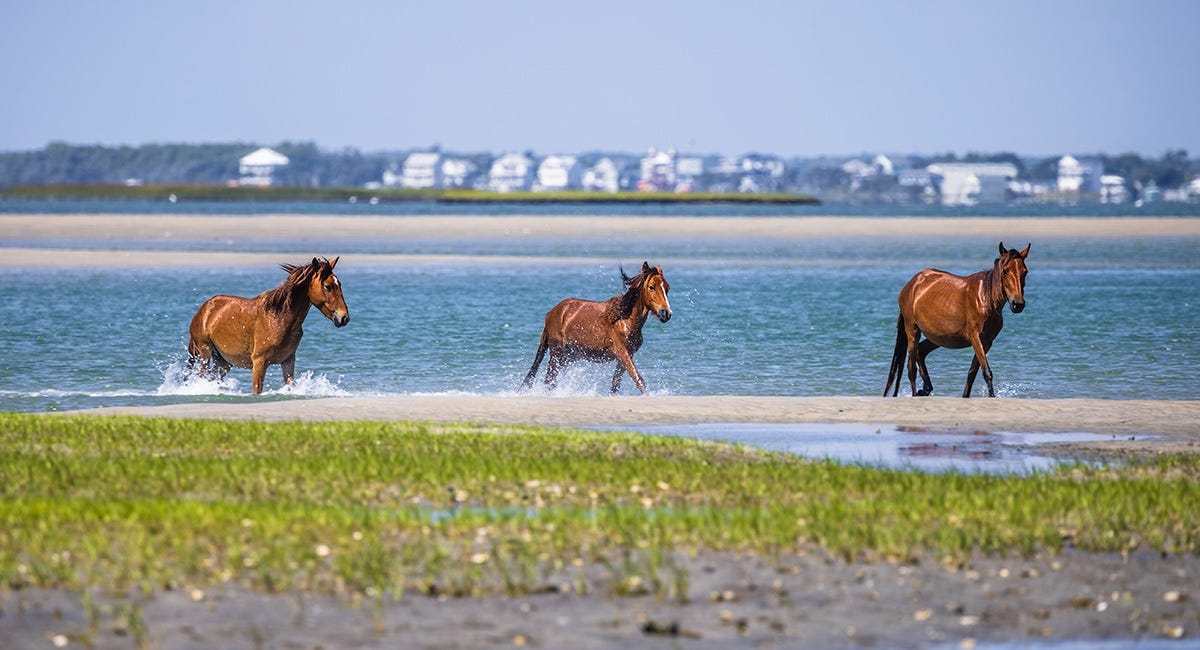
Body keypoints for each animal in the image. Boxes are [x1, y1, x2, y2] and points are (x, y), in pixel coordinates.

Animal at [188, 257, 349, 395]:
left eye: (339, 284)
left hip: (223, 361)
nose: (344, 318)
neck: (279, 318)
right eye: (327, 286)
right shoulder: (259, 363)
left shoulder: (288, 361)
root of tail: (205, 308)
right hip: (205, 352)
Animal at [522, 262, 672, 394]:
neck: (624, 320)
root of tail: (551, 313)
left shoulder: (628, 354)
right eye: (651, 287)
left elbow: (616, 384)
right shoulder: (621, 352)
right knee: (549, 380)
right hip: (557, 353)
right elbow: (638, 379)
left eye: (667, 288)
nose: (666, 313)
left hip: (569, 355)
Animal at [884, 242, 1030, 398]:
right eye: (1005, 271)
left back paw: (925, 389)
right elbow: (987, 372)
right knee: (911, 368)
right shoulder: (975, 338)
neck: (986, 299)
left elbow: (972, 373)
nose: (1018, 304)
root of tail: (911, 284)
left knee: (920, 351)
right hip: (913, 330)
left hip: (938, 337)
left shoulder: (987, 342)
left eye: (1025, 272)